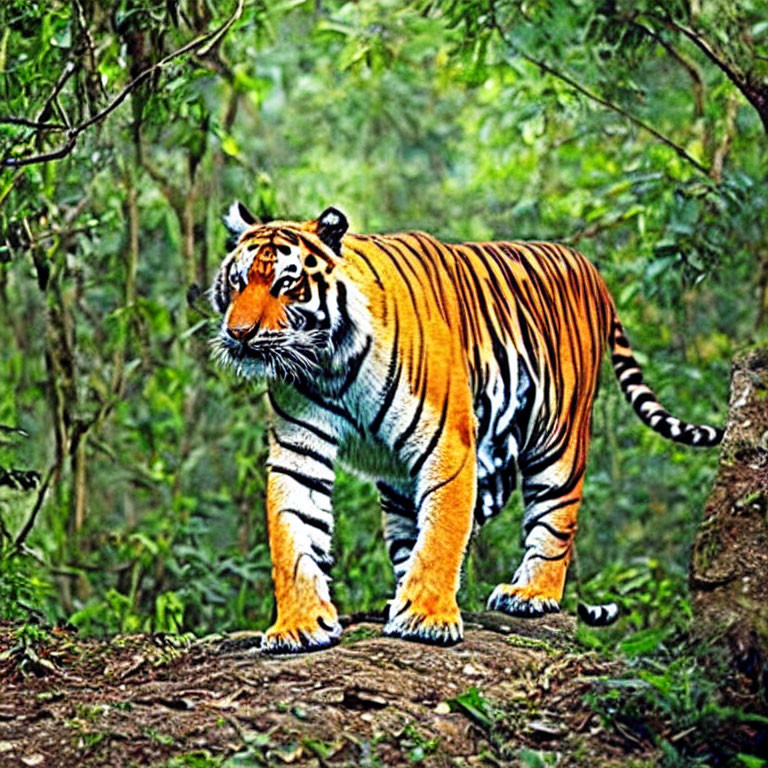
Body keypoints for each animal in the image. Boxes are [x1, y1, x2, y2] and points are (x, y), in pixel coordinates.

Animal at [208, 201, 720, 652]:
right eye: (237, 282)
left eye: (286, 284)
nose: (239, 334)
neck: (329, 362)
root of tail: (589, 268)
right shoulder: (299, 450)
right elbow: (294, 533)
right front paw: (299, 625)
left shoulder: (447, 444)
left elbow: (441, 532)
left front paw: (425, 618)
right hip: (402, 482)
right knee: (408, 534)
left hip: (559, 437)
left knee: (556, 518)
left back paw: (530, 595)